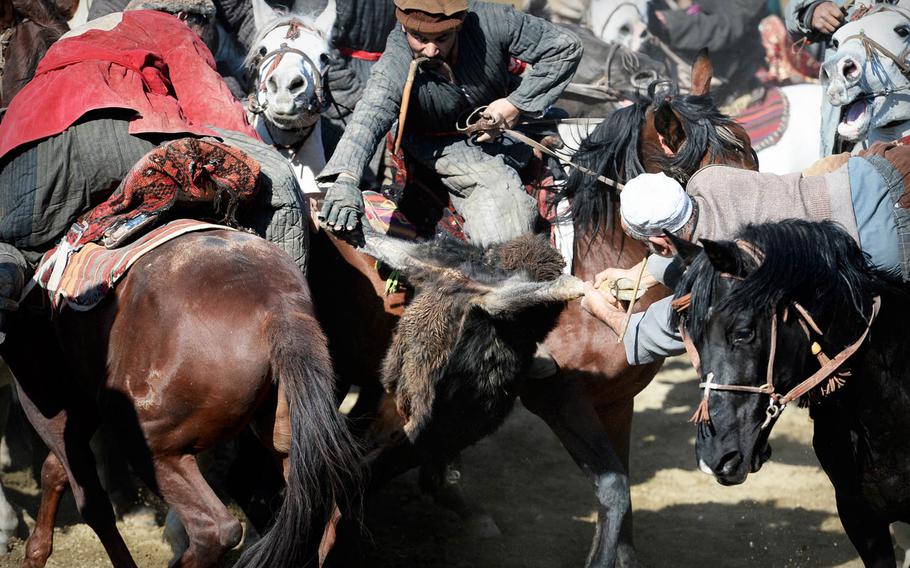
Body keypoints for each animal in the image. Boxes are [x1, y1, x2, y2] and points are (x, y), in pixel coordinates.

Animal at [8, 230, 364, 568]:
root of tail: (279, 309)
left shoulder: (48, 396)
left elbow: (88, 498)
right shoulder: (84, 398)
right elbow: (56, 469)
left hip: (152, 444)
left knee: (215, 530)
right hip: (284, 437)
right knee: (322, 515)